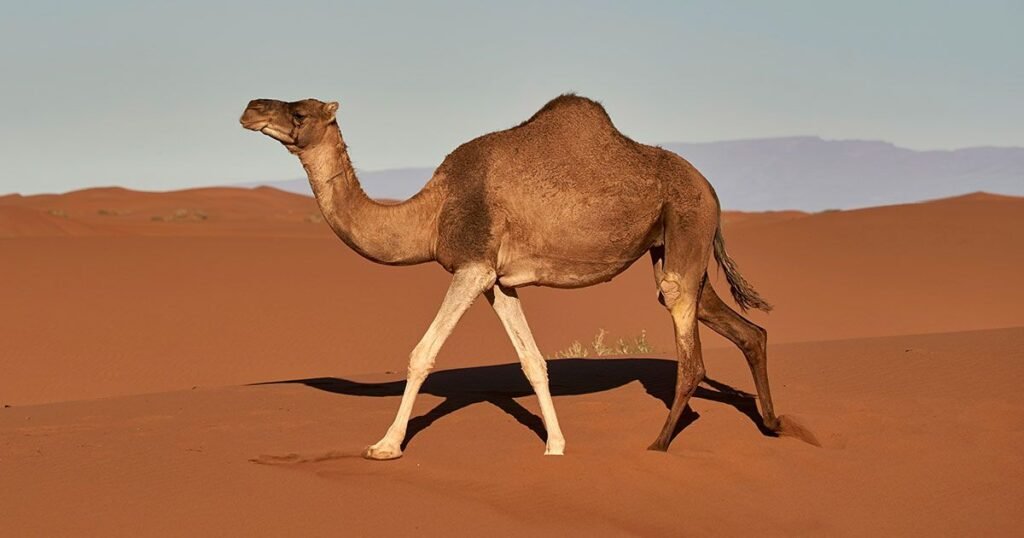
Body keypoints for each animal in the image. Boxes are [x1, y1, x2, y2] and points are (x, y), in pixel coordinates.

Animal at [240, 94, 779, 460]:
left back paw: (659, 443)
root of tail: (710, 187)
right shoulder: (498, 281)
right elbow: (533, 362)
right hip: (674, 245)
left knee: (689, 348)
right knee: (746, 329)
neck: (430, 213)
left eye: (299, 113)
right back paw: (773, 423)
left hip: (687, 225)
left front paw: (386, 445)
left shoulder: (472, 266)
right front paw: (556, 445)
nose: (250, 108)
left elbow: (422, 354)